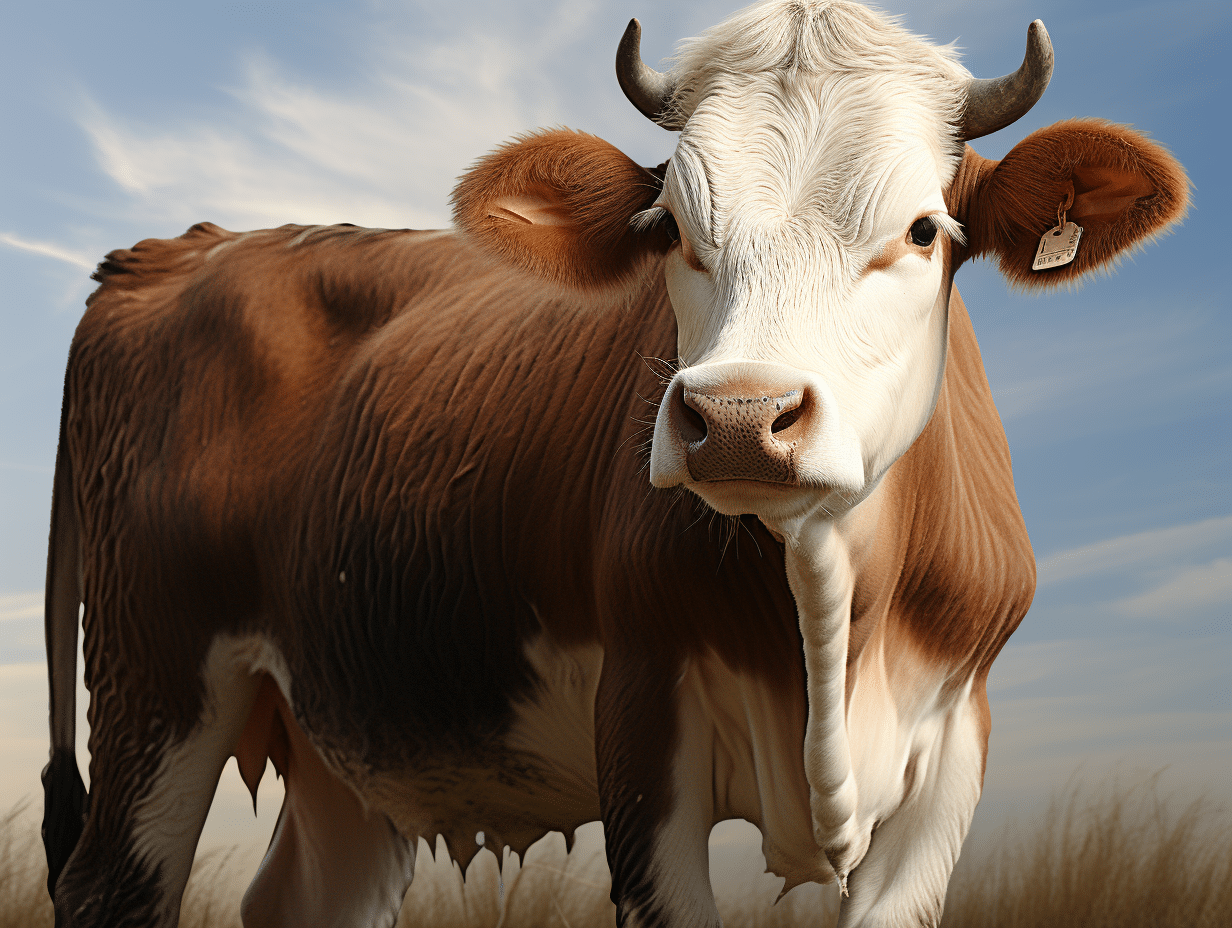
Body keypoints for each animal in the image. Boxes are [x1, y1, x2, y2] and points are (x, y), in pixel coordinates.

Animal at [41, 1, 1187, 926]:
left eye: (921, 231)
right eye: (671, 227)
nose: (738, 416)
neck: (826, 619)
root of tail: (178, 248)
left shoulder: (953, 740)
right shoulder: (641, 718)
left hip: (342, 731)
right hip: (153, 673)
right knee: (110, 883)